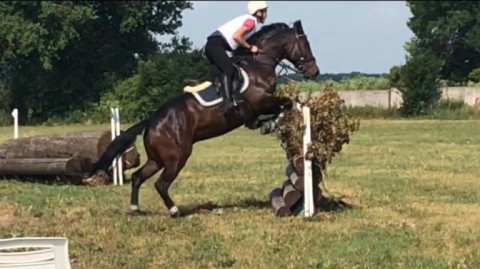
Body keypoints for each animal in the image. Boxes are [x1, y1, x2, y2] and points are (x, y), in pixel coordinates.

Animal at [85, 19, 320, 217]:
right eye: (305, 44)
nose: (315, 72)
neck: (258, 64)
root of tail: (151, 121)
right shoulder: (262, 101)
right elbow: (286, 103)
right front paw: (270, 123)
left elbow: (282, 106)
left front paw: (264, 123)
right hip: (177, 157)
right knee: (161, 184)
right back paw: (174, 210)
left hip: (158, 159)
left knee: (137, 177)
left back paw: (135, 208)